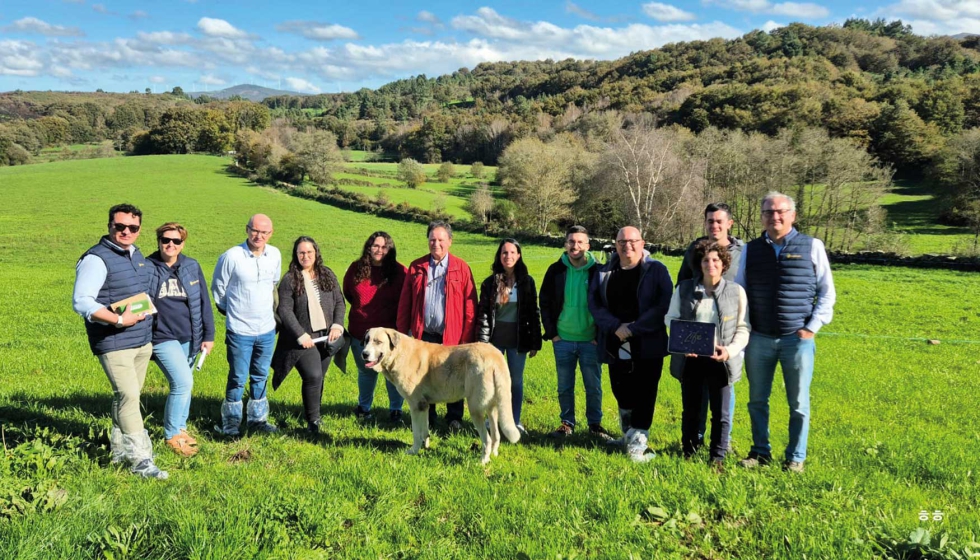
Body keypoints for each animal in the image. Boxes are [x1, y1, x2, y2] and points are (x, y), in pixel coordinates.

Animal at [362, 326, 520, 462]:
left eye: (378, 341)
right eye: (366, 340)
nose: (364, 354)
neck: (398, 354)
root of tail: (495, 356)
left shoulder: (415, 405)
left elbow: (416, 432)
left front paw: (413, 451)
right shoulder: (424, 406)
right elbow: (424, 430)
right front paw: (425, 446)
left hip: (475, 408)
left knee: (486, 438)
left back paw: (483, 462)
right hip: (492, 407)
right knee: (496, 435)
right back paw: (494, 454)